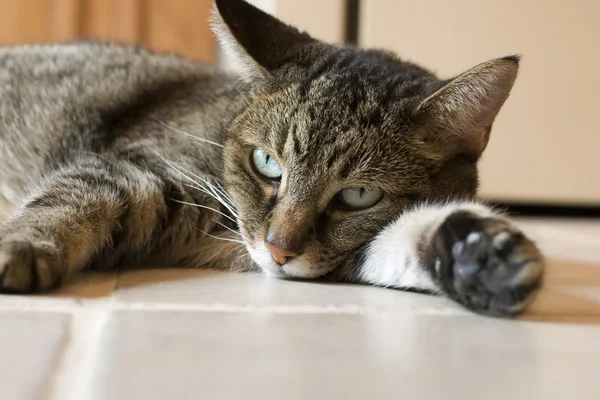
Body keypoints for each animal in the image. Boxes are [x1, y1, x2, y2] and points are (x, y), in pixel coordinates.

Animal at [0, 0, 544, 318]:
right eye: (266, 163)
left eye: (359, 195)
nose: (279, 248)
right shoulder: (137, 169)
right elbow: (69, 199)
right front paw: (20, 247)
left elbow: (392, 243)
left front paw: (480, 256)